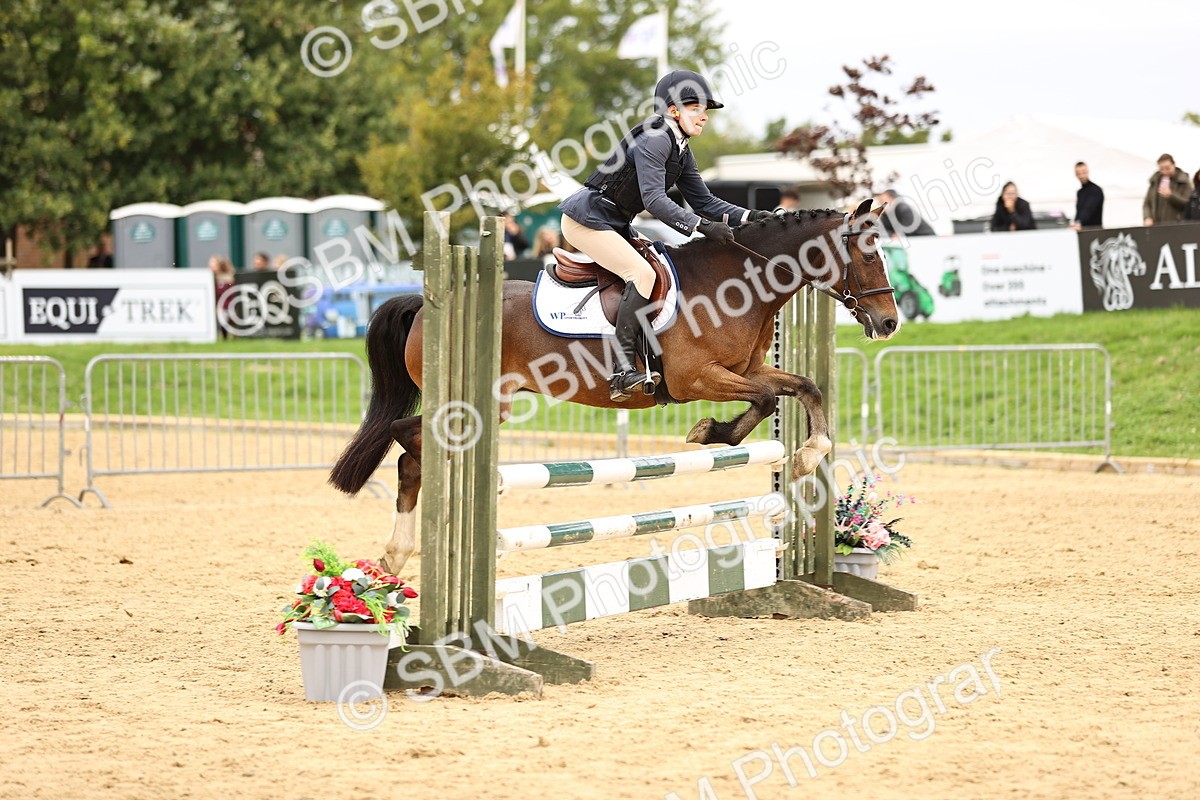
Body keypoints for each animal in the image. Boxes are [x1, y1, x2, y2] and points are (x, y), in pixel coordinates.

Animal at [330, 199, 900, 572]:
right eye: (870, 255)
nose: (890, 322)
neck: (736, 283)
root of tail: (426, 302)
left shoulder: (747, 369)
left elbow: (805, 387)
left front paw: (807, 455)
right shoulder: (696, 378)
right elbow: (761, 402)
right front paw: (709, 433)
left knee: (411, 452)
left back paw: (397, 555)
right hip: (473, 408)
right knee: (408, 445)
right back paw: (402, 549)